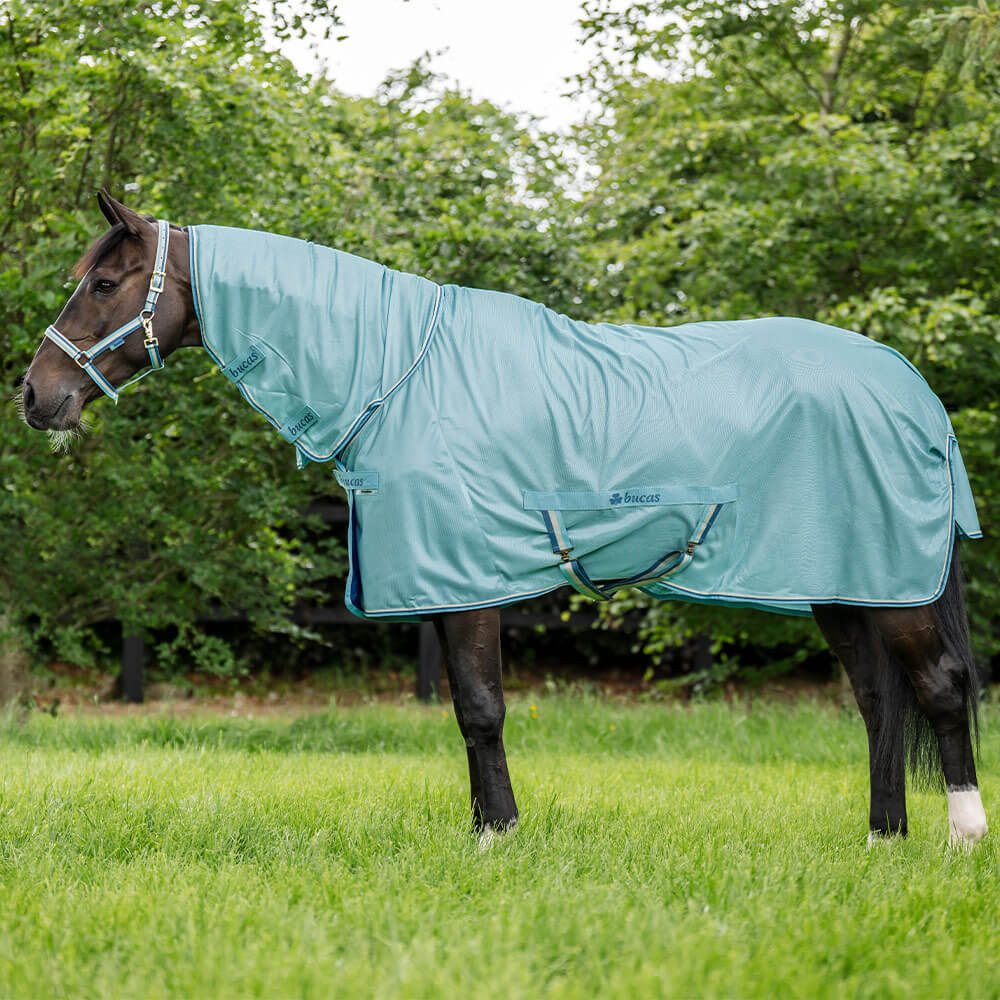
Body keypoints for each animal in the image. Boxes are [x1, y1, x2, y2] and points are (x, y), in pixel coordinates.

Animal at [21, 192, 988, 848]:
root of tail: (909, 386)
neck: (399, 374)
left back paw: (961, 838)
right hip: (842, 584)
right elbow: (464, 711)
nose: (36, 395)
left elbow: (481, 710)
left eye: (104, 283)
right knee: (879, 703)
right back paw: (883, 837)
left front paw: (500, 837)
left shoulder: (466, 581)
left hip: (891, 585)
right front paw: (489, 831)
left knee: (939, 689)